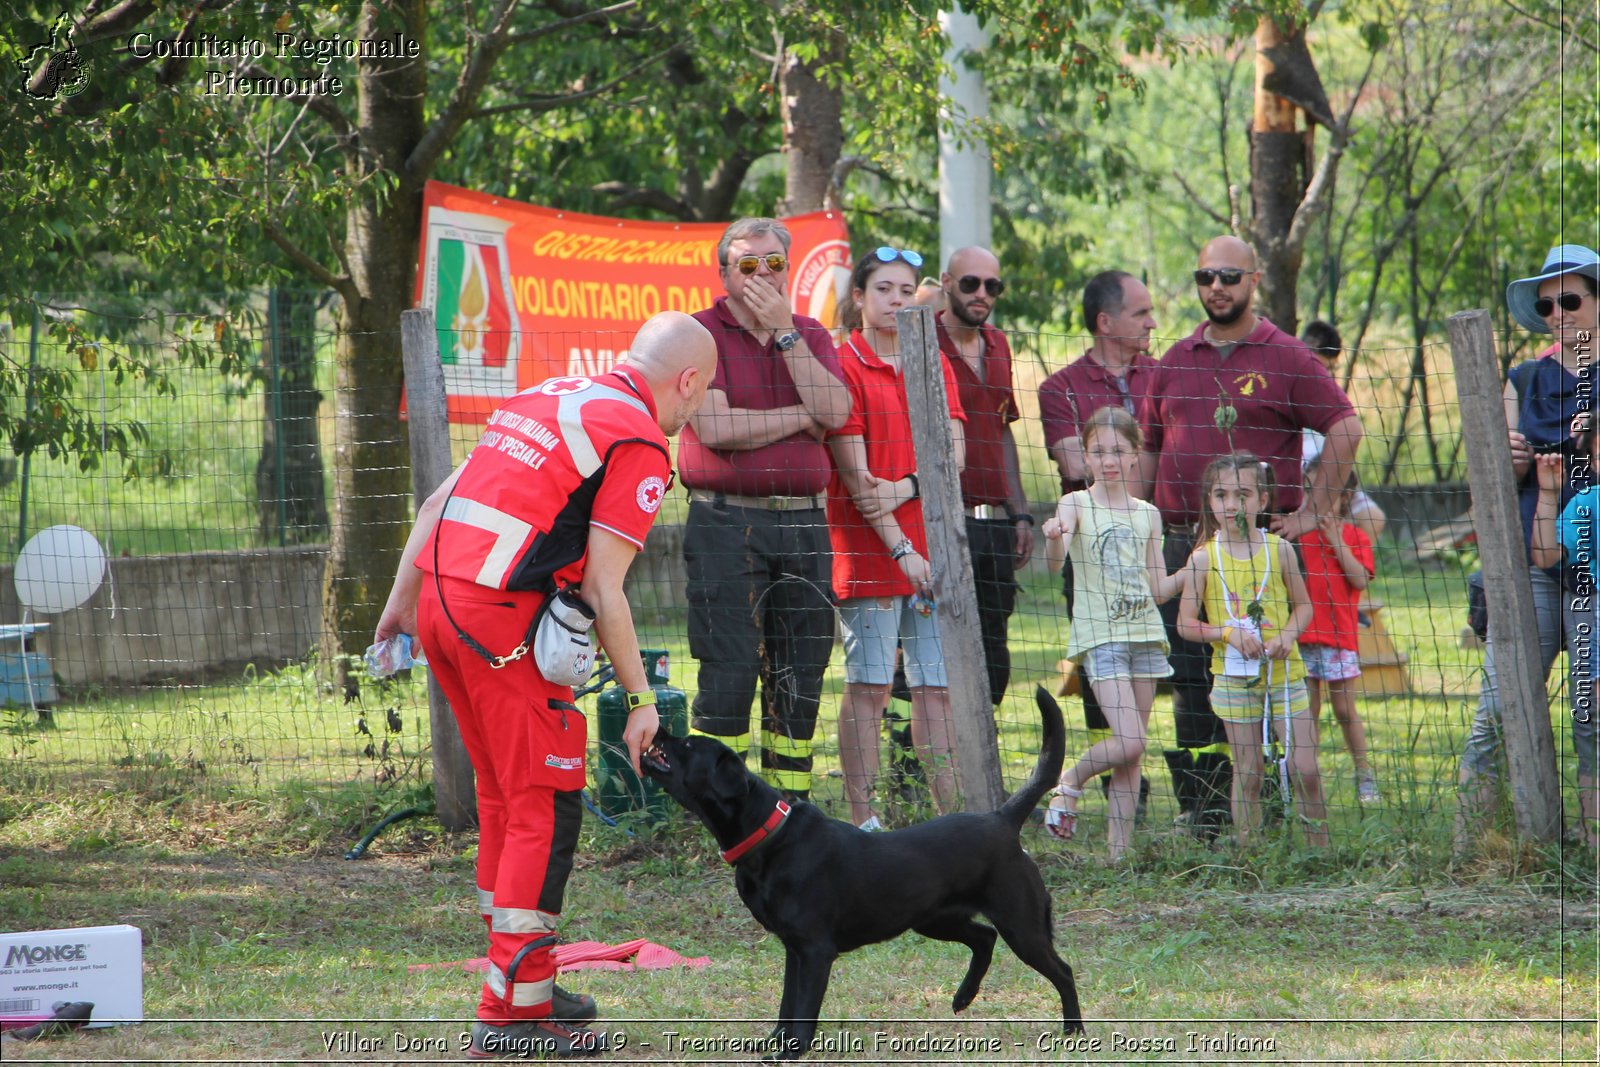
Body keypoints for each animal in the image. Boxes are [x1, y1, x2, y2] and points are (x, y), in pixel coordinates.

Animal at [640, 687, 1088, 1055]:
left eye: (686, 743)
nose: (655, 727)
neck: (769, 837)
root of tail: (1002, 819)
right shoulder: (793, 948)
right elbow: (786, 1005)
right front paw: (773, 1043)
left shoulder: (815, 950)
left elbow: (803, 1009)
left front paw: (790, 1052)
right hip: (933, 918)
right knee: (983, 937)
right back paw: (963, 997)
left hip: (1021, 924)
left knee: (1061, 970)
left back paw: (1074, 1032)